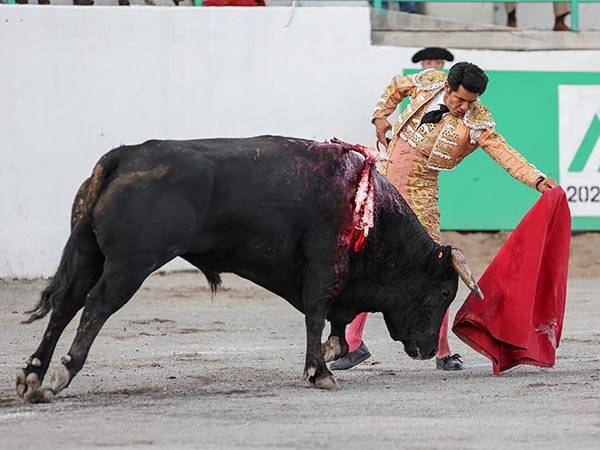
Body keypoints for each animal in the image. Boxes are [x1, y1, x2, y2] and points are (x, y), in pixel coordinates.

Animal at [16, 135, 482, 402]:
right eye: (445, 292)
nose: (427, 351)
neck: (369, 207)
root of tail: (124, 157)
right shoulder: (324, 261)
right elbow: (318, 312)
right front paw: (319, 372)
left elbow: (336, 322)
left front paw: (330, 356)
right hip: (130, 264)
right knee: (95, 307)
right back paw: (61, 375)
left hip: (88, 257)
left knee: (65, 306)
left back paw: (34, 376)